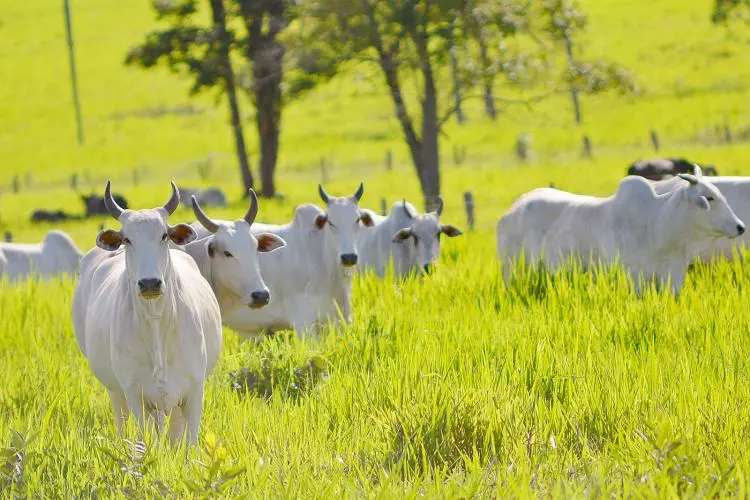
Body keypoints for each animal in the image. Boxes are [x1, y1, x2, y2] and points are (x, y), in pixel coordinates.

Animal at [72, 181, 222, 446]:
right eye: (127, 239)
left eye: (164, 235)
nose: (150, 283)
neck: (157, 326)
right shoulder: (136, 396)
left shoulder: (194, 391)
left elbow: (188, 442)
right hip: (116, 392)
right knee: (123, 422)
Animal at [496, 174, 748, 294]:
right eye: (710, 197)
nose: (740, 227)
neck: (657, 225)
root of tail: (511, 211)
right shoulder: (633, 277)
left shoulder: (673, 276)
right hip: (512, 271)